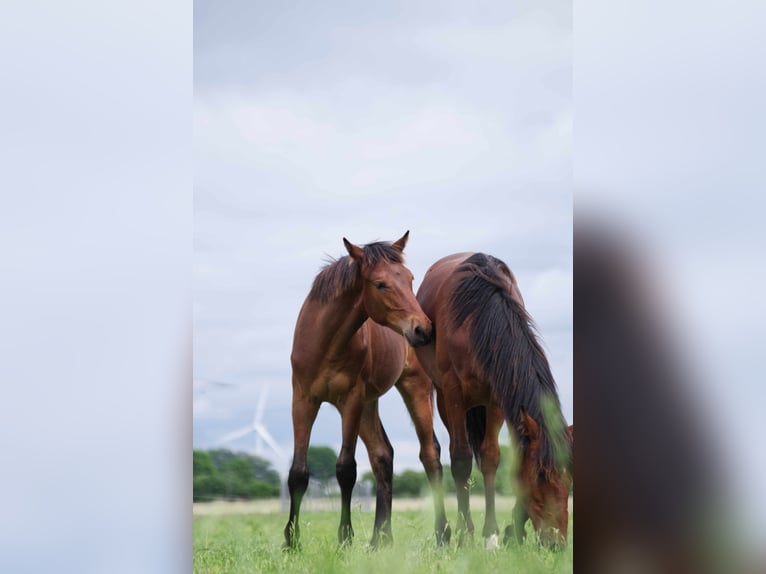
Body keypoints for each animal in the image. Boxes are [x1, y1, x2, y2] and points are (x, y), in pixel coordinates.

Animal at [284, 235, 450, 552]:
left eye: (409, 278)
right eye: (380, 283)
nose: (423, 329)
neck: (326, 341)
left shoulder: (351, 400)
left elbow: (346, 469)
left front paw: (344, 537)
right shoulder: (303, 400)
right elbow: (298, 472)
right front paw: (291, 542)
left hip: (414, 389)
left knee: (430, 454)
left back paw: (443, 535)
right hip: (370, 404)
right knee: (383, 455)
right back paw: (380, 539)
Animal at [414, 252, 576, 548]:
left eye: (569, 474)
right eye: (540, 475)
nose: (556, 543)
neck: (479, 317)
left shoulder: (498, 399)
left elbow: (493, 458)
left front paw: (498, 532)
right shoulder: (453, 392)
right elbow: (461, 460)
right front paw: (466, 534)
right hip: (443, 399)